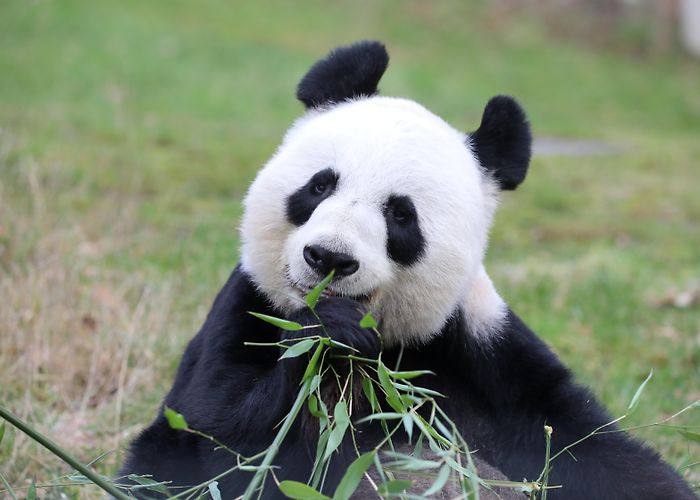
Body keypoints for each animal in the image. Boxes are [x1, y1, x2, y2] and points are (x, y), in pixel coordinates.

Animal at [119, 41, 695, 499]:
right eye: (320, 185)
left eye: (400, 215)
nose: (329, 258)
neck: (387, 347)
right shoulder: (250, 308)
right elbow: (220, 437)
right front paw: (328, 337)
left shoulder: (479, 350)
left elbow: (587, 449)